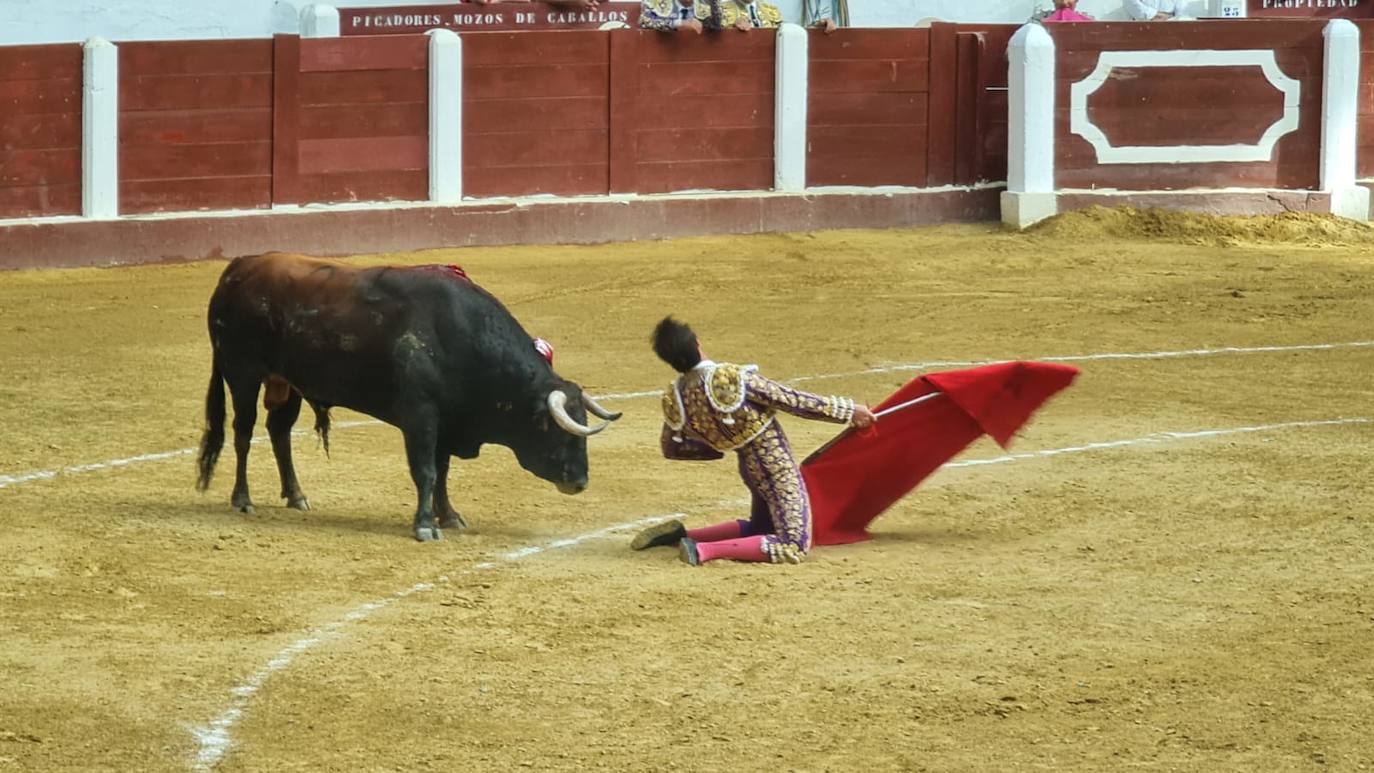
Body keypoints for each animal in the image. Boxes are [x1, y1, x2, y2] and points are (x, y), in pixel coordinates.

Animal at [193, 252, 623, 538]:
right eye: (559, 432)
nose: (580, 482)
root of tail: (237, 268)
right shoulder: (421, 415)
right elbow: (426, 470)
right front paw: (425, 525)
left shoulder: (447, 422)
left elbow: (443, 471)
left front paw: (449, 516)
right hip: (243, 373)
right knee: (243, 432)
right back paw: (243, 499)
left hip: (287, 382)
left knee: (279, 431)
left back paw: (296, 496)